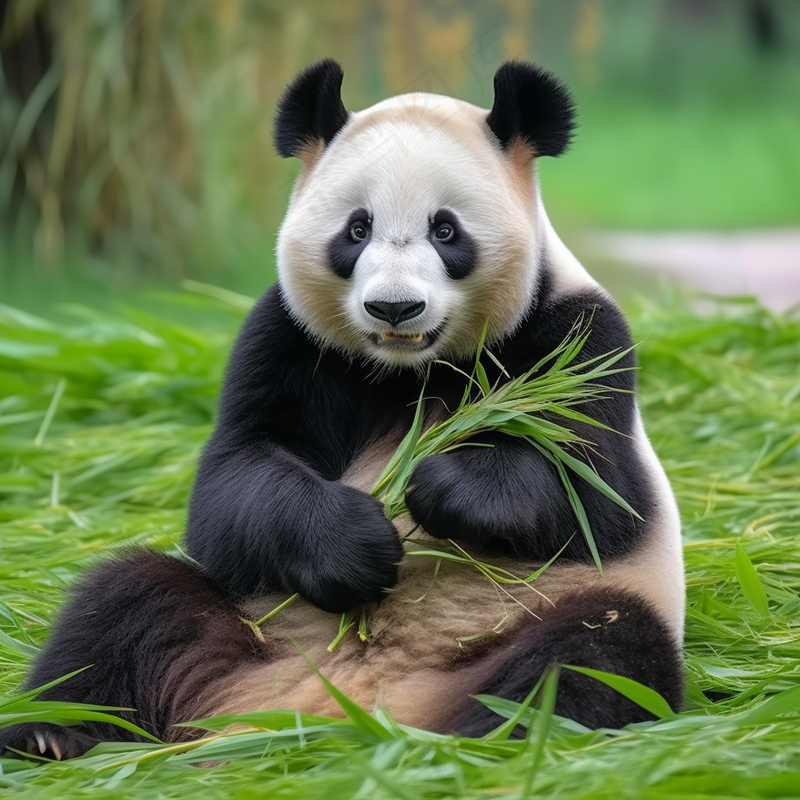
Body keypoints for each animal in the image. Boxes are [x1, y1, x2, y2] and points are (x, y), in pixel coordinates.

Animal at [0, 59, 684, 761]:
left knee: (593, 653)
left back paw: (482, 744)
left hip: (543, 623)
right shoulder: (287, 339)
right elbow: (234, 478)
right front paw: (357, 540)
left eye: (445, 230)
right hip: (247, 631)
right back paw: (51, 733)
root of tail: (341, 708)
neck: (409, 370)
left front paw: (439, 485)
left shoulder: (581, 338)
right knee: (126, 603)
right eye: (357, 229)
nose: (394, 308)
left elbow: (595, 490)